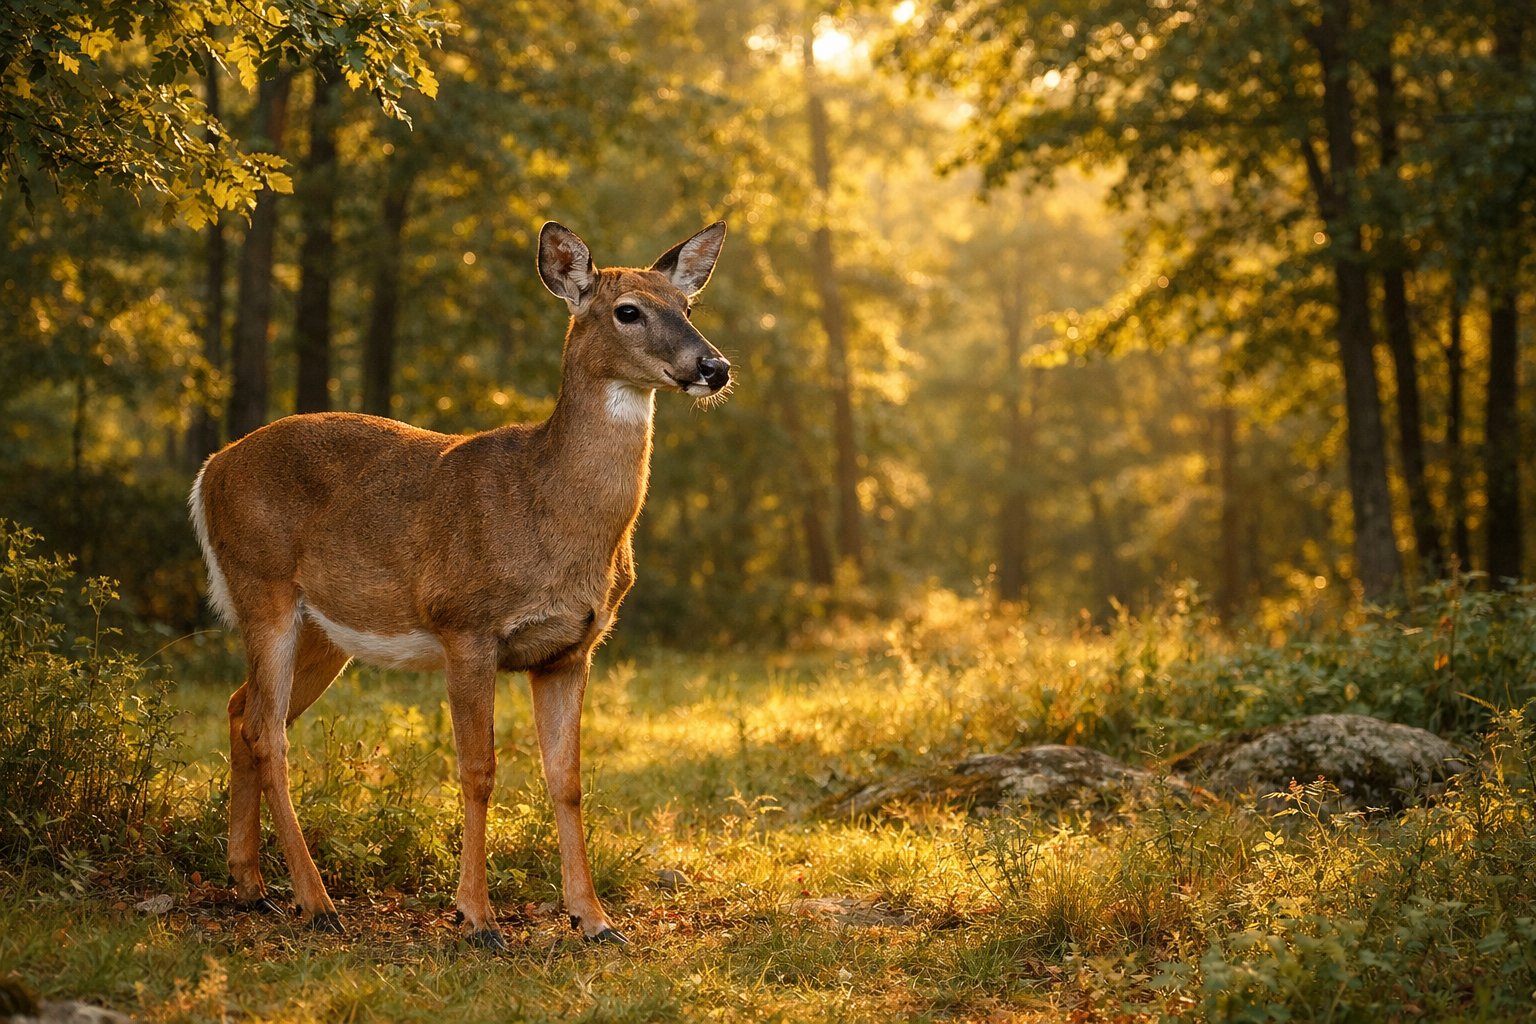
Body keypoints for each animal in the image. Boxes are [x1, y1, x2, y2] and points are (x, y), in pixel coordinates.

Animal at [188, 221, 730, 948]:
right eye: (628, 311)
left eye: (688, 306)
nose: (714, 367)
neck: (550, 509)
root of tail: (210, 470)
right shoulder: (465, 624)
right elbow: (479, 771)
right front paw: (475, 916)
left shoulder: (571, 649)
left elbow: (567, 779)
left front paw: (594, 919)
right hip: (262, 586)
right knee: (268, 731)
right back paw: (316, 900)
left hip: (325, 630)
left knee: (240, 709)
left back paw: (251, 885)